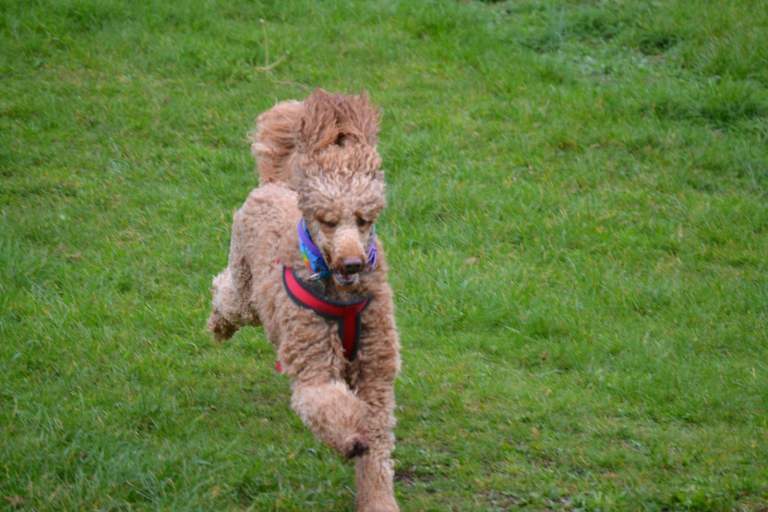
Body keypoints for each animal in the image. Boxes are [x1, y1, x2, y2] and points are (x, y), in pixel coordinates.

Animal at [207, 89, 401, 512]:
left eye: (364, 219)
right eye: (327, 221)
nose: (352, 262)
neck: (343, 296)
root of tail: (274, 184)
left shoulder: (376, 372)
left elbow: (378, 446)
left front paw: (378, 498)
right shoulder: (314, 364)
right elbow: (327, 404)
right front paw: (353, 437)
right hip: (244, 286)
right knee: (224, 293)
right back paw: (217, 326)